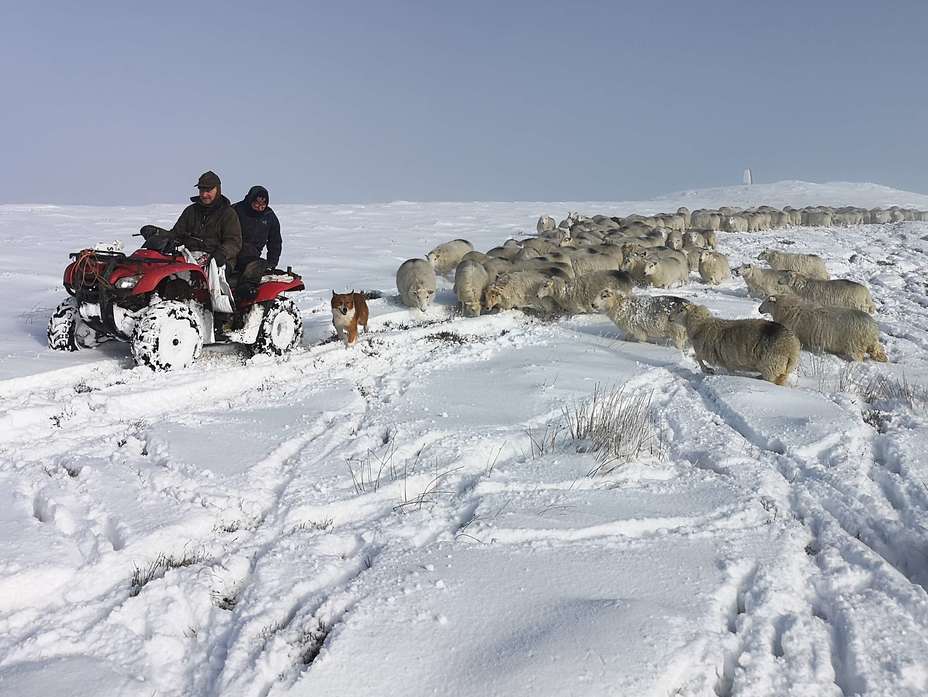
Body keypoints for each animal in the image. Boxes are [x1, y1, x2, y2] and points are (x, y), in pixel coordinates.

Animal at [672, 304, 800, 384]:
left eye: (680, 310)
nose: (669, 318)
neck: (701, 325)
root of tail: (792, 348)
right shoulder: (725, 359)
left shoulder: (705, 351)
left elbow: (699, 359)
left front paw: (708, 370)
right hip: (781, 368)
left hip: (771, 365)